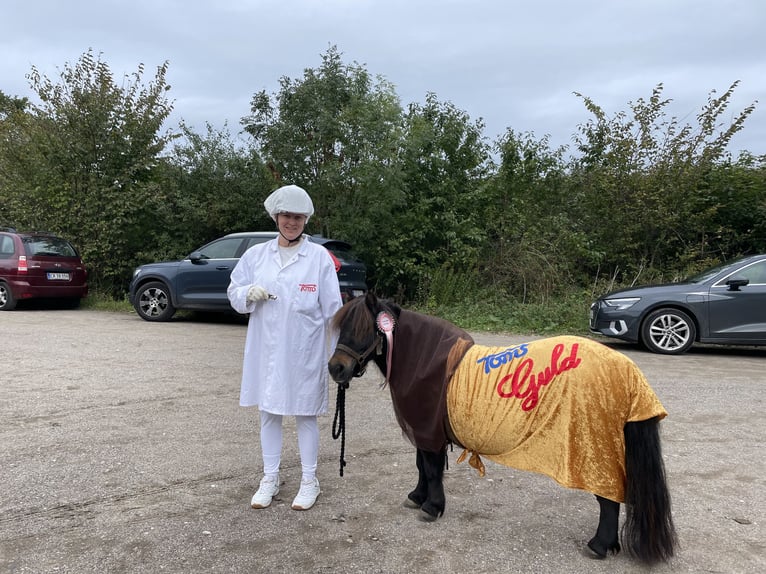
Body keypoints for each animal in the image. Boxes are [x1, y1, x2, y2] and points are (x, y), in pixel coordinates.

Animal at [328, 294, 680, 564]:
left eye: (363, 328)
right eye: (341, 328)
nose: (336, 369)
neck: (426, 361)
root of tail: (626, 369)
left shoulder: (428, 431)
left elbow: (430, 468)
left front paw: (432, 506)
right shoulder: (425, 431)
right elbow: (421, 466)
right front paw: (417, 497)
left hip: (595, 450)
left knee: (608, 497)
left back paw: (598, 545)